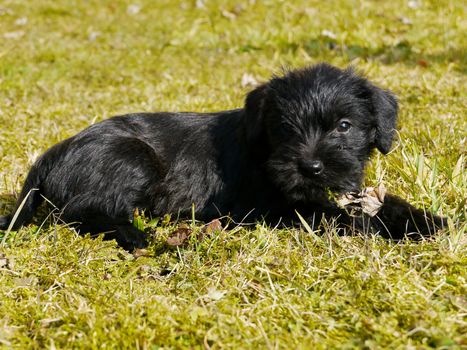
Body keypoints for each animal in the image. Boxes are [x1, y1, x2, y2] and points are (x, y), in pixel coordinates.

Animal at [0, 63, 444, 249]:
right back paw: (136, 235)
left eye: (344, 126)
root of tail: (52, 153)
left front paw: (430, 222)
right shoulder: (272, 206)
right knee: (81, 211)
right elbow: (337, 216)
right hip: (133, 157)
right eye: (284, 128)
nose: (310, 167)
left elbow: (379, 204)